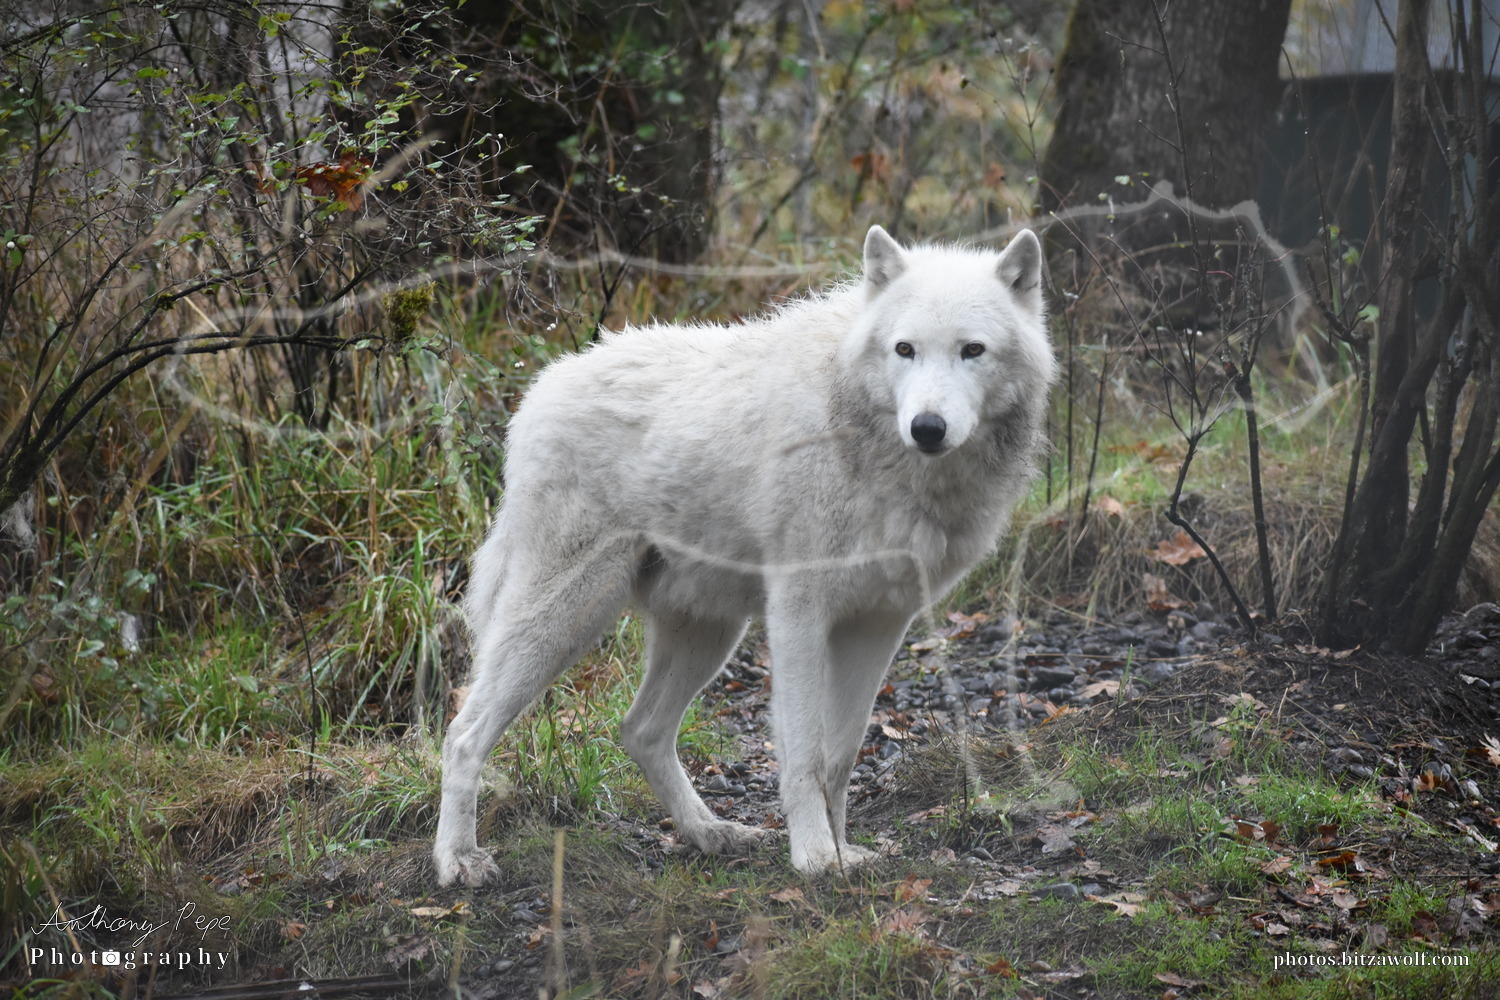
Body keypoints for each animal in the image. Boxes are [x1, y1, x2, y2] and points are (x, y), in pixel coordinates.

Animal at [434, 225, 1056, 886]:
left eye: (973, 350)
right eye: (905, 349)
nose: (928, 427)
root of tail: (539, 389)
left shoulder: (879, 624)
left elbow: (842, 755)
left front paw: (845, 851)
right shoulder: (798, 614)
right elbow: (805, 753)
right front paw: (815, 858)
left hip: (707, 634)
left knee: (641, 731)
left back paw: (710, 833)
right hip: (564, 620)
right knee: (463, 734)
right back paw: (457, 859)